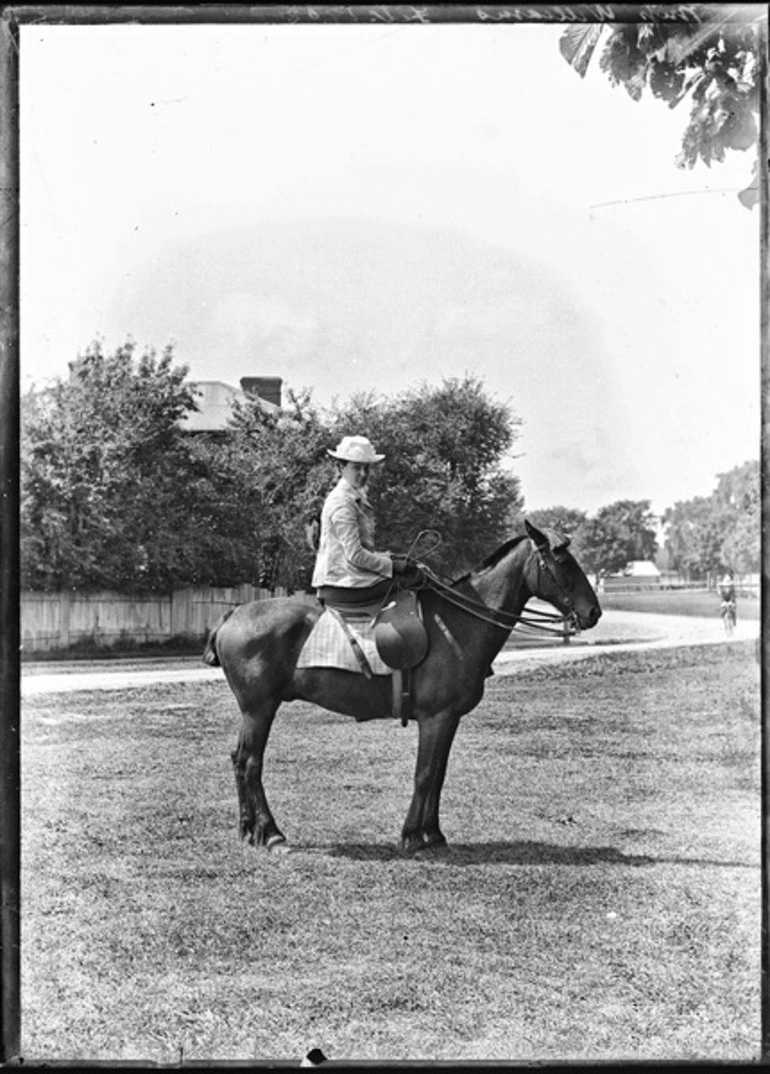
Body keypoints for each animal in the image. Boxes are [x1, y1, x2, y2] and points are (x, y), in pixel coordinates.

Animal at [204, 519, 601, 854]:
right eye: (562, 561)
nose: (593, 612)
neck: (460, 621)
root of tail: (233, 614)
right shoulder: (435, 718)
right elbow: (424, 774)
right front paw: (412, 836)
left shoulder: (449, 719)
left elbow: (438, 774)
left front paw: (434, 834)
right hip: (259, 709)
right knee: (251, 762)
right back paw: (271, 833)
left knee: (240, 760)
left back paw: (249, 829)